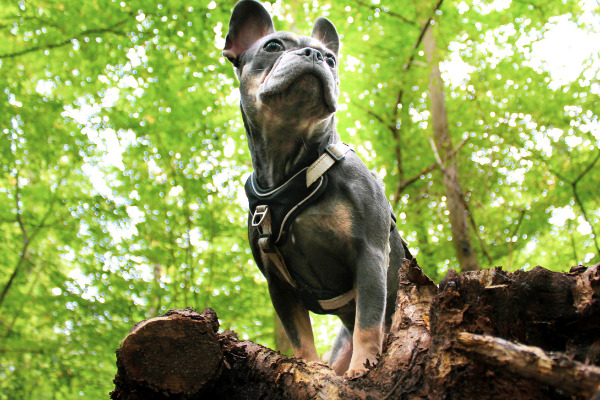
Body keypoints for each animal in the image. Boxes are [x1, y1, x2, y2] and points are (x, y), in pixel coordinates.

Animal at [223, 0, 410, 378]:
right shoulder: (278, 283)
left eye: (332, 60)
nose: (315, 55)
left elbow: (369, 320)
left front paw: (362, 368)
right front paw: (306, 366)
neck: (294, 170)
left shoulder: (370, 254)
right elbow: (299, 333)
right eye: (273, 46)